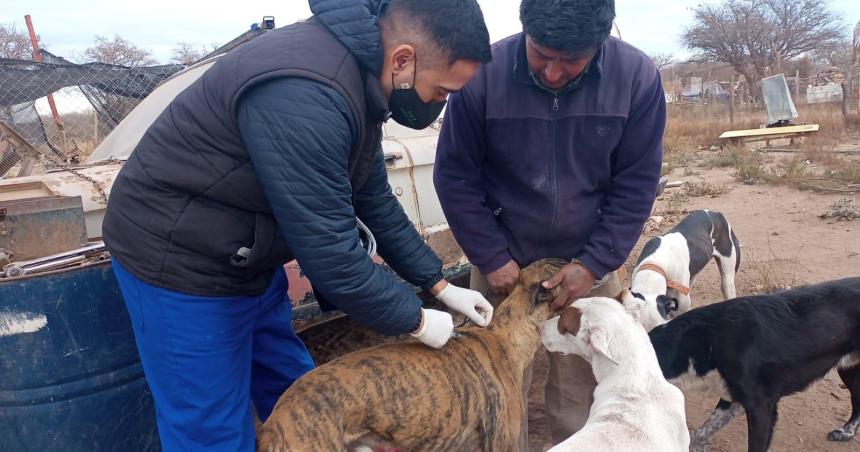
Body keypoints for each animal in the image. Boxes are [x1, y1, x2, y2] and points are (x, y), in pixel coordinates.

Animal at [636, 278, 856, 452]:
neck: (703, 341)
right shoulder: (733, 398)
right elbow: (699, 434)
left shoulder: (761, 407)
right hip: (849, 368)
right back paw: (846, 432)